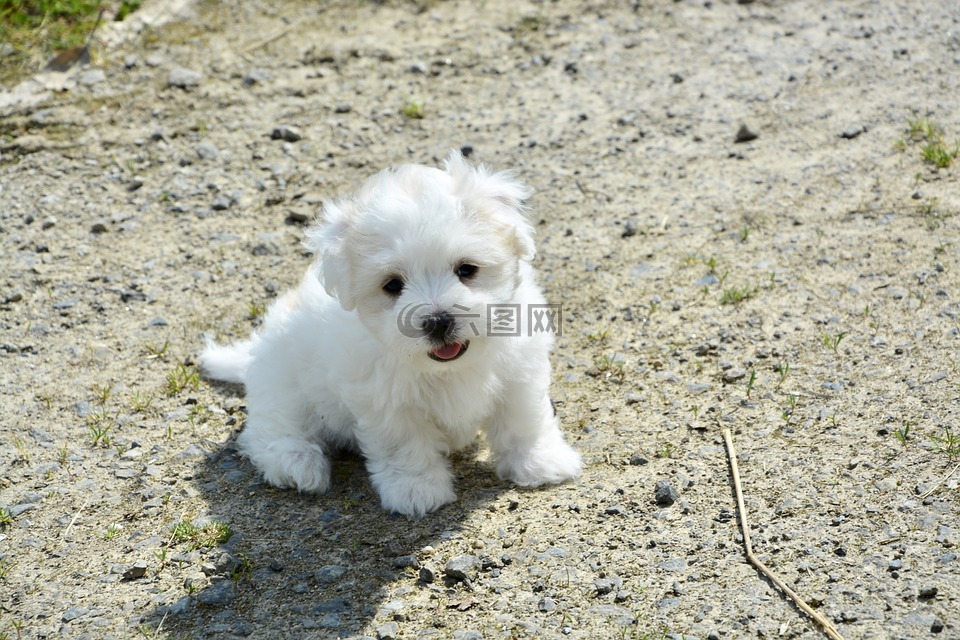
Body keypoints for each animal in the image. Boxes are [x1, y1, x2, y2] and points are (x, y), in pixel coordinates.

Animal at [199, 152, 580, 516]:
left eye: (467, 269)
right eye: (393, 285)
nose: (437, 320)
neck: (447, 368)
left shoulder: (519, 372)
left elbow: (523, 420)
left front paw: (539, 462)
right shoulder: (384, 400)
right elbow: (404, 444)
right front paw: (416, 489)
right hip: (282, 384)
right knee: (271, 428)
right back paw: (296, 463)